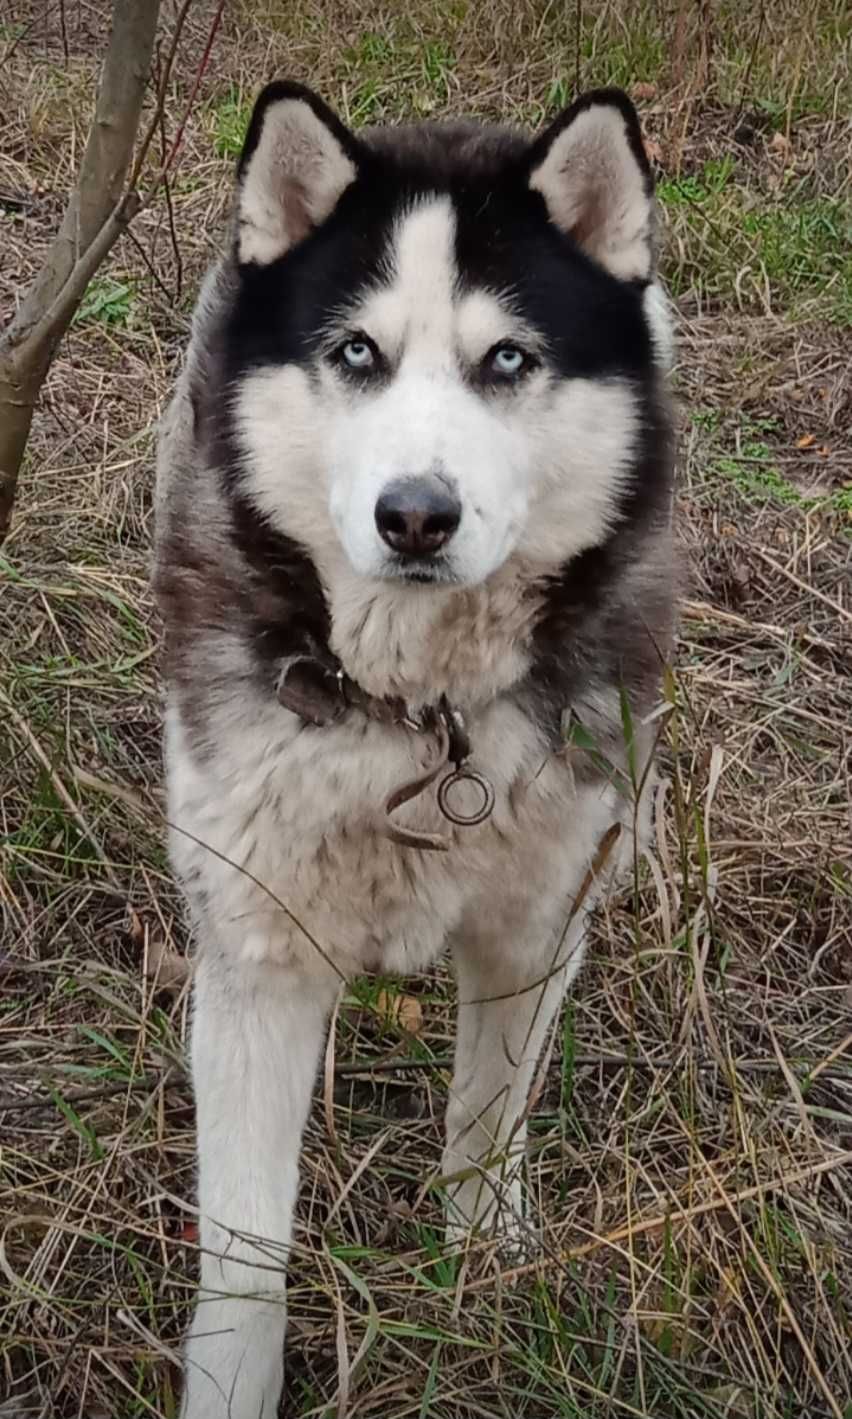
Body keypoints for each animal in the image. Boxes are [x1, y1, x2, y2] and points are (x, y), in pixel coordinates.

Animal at [151, 80, 673, 1419]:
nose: (417, 516)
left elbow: (488, 1124)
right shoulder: (259, 954)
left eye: (509, 360)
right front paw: (231, 1385)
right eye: (355, 354)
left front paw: (484, 1278)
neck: (422, 714)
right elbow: (245, 1252)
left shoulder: (537, 926)